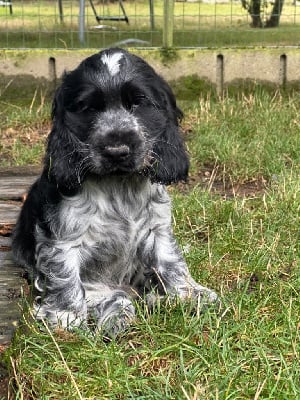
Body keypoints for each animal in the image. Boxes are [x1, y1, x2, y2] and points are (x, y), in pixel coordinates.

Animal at [12, 47, 218, 338]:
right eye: (88, 108)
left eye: (138, 103)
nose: (117, 150)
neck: (118, 185)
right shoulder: (63, 239)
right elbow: (64, 275)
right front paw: (65, 317)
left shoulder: (157, 228)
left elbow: (170, 260)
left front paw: (189, 293)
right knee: (119, 297)